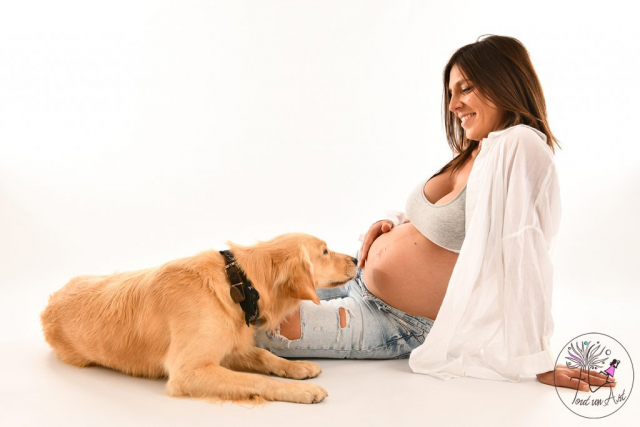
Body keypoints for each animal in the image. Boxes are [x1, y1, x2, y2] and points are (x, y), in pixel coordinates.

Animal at [42, 234, 358, 404]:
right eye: (325, 251)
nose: (356, 260)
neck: (239, 283)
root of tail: (48, 303)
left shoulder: (226, 347)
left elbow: (262, 356)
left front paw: (298, 367)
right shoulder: (189, 370)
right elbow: (256, 380)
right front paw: (301, 390)